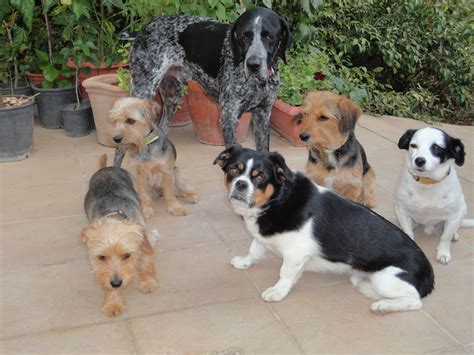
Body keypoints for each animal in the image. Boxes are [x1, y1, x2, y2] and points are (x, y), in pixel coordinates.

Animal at [120, 7, 290, 158]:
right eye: (244, 36)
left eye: (269, 36)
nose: (253, 65)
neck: (256, 82)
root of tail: (144, 29)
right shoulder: (228, 119)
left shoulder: (263, 116)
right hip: (143, 91)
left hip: (172, 98)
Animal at [214, 146, 434, 312]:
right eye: (233, 171)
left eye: (259, 177)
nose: (241, 184)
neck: (279, 200)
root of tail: (428, 270)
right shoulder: (263, 238)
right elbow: (254, 250)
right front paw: (244, 262)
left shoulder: (296, 254)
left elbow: (285, 273)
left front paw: (277, 292)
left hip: (386, 279)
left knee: (415, 302)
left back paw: (383, 305)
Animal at [394, 127, 472, 264]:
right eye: (413, 145)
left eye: (437, 148)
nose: (419, 160)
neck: (427, 183)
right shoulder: (401, 210)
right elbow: (408, 232)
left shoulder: (453, 215)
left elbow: (445, 236)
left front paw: (443, 253)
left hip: (463, 208)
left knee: (455, 226)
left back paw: (454, 234)